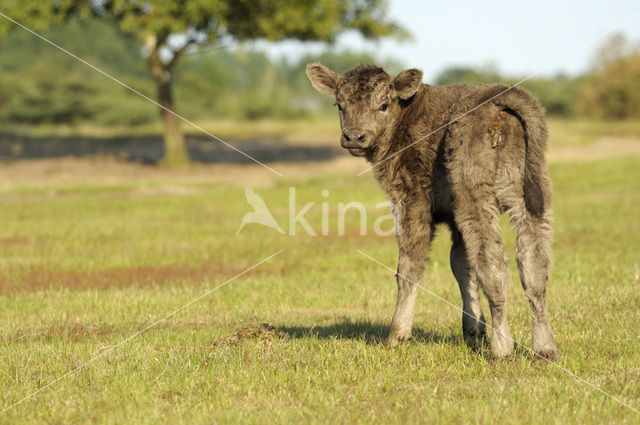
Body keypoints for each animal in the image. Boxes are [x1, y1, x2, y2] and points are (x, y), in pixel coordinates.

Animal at [304, 63, 556, 358]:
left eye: (383, 105)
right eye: (339, 104)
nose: (354, 136)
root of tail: (500, 96)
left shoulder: (411, 202)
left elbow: (409, 267)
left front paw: (397, 335)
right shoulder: (454, 218)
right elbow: (461, 265)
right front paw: (473, 330)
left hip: (475, 197)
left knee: (493, 263)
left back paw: (502, 347)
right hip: (530, 200)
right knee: (533, 264)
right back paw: (545, 347)